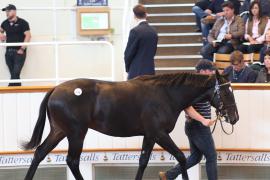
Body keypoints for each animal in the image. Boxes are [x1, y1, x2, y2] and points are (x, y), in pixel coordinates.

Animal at [22, 71, 238, 179]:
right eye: (226, 92)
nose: (234, 118)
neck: (166, 95)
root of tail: (55, 89)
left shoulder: (149, 136)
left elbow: (143, 162)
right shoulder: (158, 133)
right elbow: (181, 158)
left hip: (59, 131)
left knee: (39, 153)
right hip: (76, 133)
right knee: (72, 161)